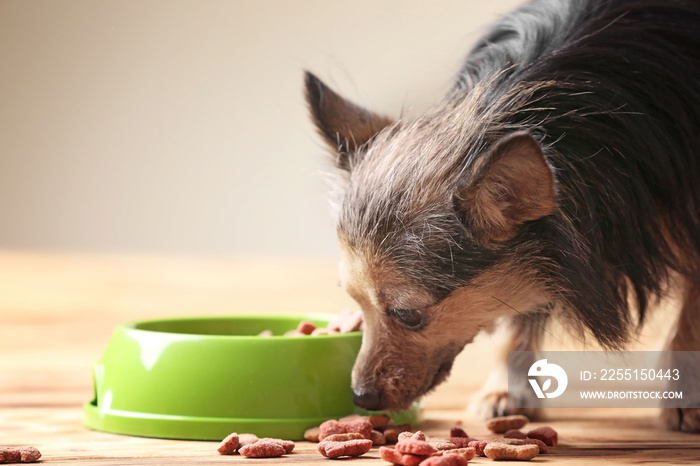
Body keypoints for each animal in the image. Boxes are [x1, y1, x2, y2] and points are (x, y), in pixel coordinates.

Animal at [304, 0, 700, 432]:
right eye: (355, 302)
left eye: (407, 315)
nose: (361, 398)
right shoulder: (548, 246)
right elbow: (518, 308)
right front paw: (507, 390)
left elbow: (691, 318)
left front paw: (686, 395)